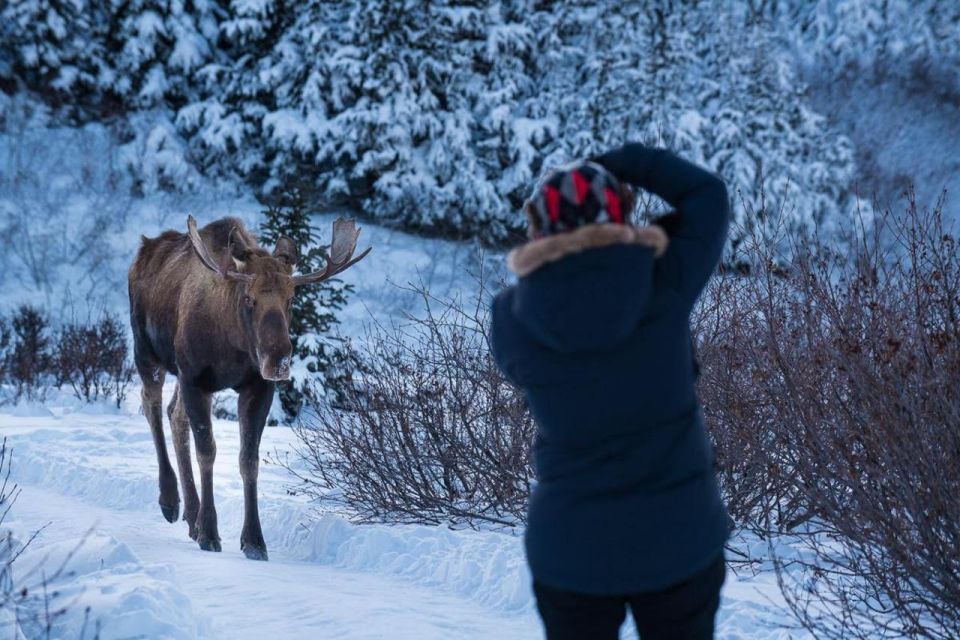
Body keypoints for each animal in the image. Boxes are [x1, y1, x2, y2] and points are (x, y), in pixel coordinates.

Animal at [127, 215, 368, 560]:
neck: (233, 346)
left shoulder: (257, 387)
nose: (278, 360)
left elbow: (248, 460)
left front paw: (253, 540)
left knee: (175, 416)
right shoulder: (194, 378)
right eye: (248, 298)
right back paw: (171, 501)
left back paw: (191, 515)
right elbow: (207, 452)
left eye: (291, 299)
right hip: (146, 351)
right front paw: (210, 533)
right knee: (152, 406)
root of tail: (142, 252)